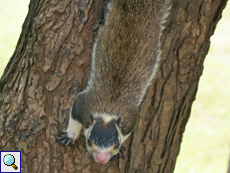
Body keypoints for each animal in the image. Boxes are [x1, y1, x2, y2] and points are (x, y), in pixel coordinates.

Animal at [56, 0, 172, 163]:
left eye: (116, 143)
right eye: (89, 141)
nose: (101, 159)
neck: (108, 110)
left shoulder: (130, 118)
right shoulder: (84, 104)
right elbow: (74, 114)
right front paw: (69, 135)